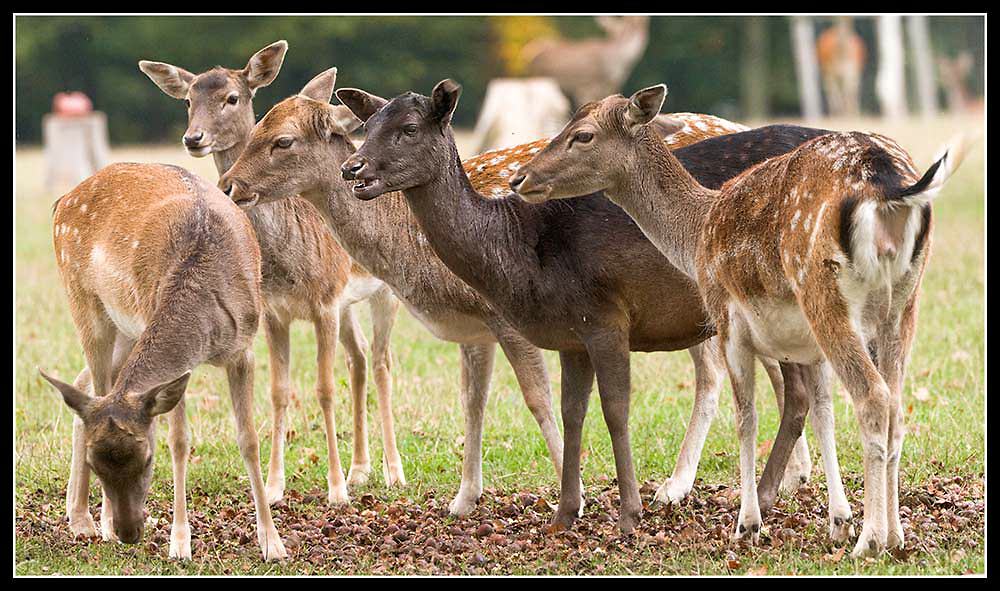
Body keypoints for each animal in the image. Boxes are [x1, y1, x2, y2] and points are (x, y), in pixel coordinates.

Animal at [43, 161, 286, 560]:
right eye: (96, 465)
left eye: (146, 459)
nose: (128, 531)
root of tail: (63, 199)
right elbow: (180, 441)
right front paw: (180, 543)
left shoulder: (244, 349)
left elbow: (248, 439)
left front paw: (272, 543)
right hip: (85, 302)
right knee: (97, 385)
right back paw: (92, 522)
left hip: (127, 328)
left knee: (84, 386)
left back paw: (81, 518)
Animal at [139, 40, 404, 508]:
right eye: (187, 100)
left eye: (232, 98)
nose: (193, 138)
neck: (286, 262)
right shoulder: (276, 312)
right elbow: (280, 392)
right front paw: (277, 486)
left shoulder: (325, 301)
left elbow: (323, 388)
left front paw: (335, 490)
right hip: (349, 304)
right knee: (357, 358)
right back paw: (361, 469)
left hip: (381, 293)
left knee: (381, 361)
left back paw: (392, 472)